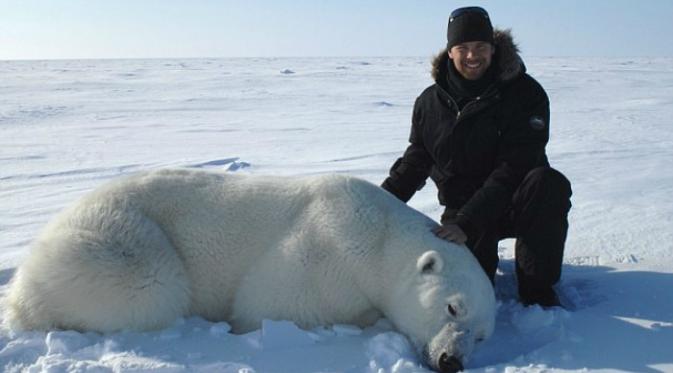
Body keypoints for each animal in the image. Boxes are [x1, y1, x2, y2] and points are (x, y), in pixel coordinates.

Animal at [5, 169, 496, 372]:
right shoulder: (327, 252)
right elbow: (268, 304)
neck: (381, 237)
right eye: (452, 308)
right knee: (153, 285)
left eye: (482, 335)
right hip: (119, 241)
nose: (451, 361)